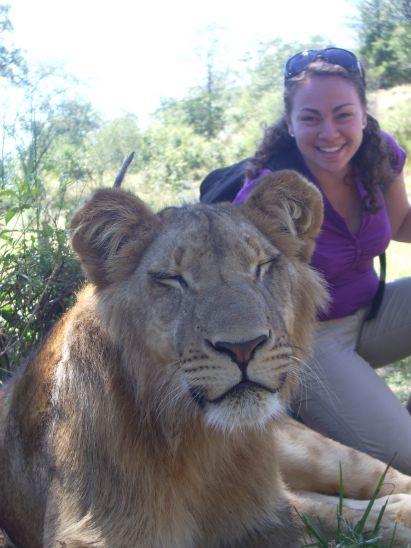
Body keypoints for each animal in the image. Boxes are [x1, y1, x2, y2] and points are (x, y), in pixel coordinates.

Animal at [0, 171, 411, 548]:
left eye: (262, 266)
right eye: (172, 278)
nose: (243, 347)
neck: (200, 447)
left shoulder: (268, 514)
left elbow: (335, 519)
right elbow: (332, 517)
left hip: (315, 454)